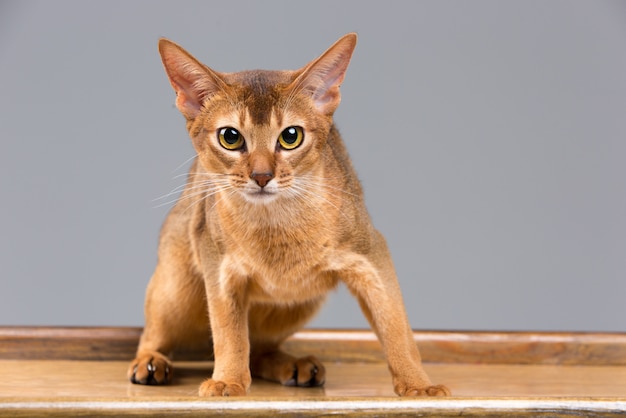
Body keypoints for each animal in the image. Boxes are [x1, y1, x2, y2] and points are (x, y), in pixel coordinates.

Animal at [128, 31, 448, 396]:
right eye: (230, 137)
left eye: (291, 136)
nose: (262, 176)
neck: (277, 225)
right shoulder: (217, 263)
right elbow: (228, 331)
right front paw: (227, 380)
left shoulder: (371, 253)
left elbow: (397, 326)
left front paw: (419, 386)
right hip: (175, 286)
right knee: (154, 334)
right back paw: (150, 363)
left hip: (297, 303)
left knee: (259, 350)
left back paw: (295, 366)